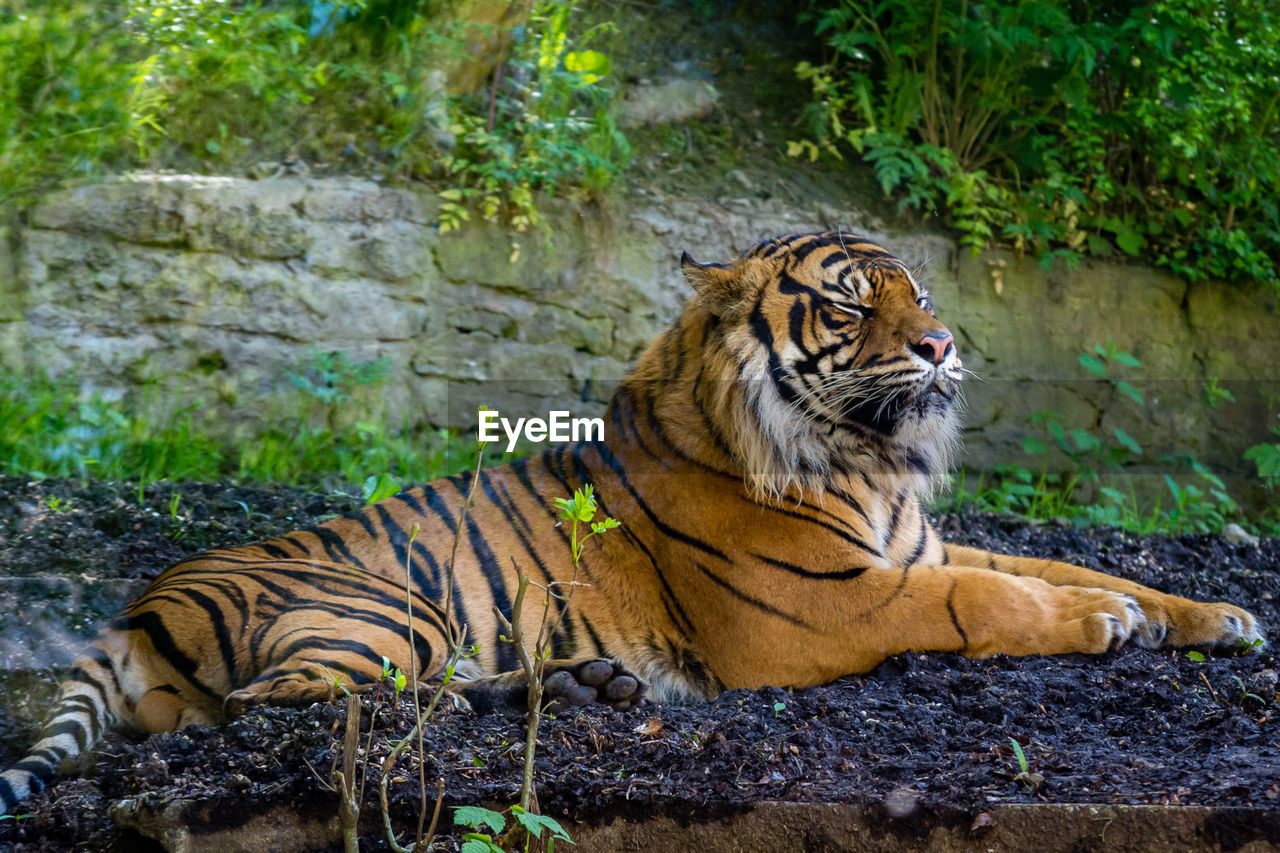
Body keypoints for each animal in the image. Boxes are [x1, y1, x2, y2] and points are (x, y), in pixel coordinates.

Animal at [0, 230, 1259, 809]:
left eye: (923, 294)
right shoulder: (832, 606)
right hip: (384, 609)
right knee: (300, 708)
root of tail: (137, 602)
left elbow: (1052, 562)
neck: (868, 464)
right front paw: (1101, 622)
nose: (943, 345)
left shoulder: (917, 545)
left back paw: (589, 686)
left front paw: (1214, 614)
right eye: (851, 303)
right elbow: (990, 595)